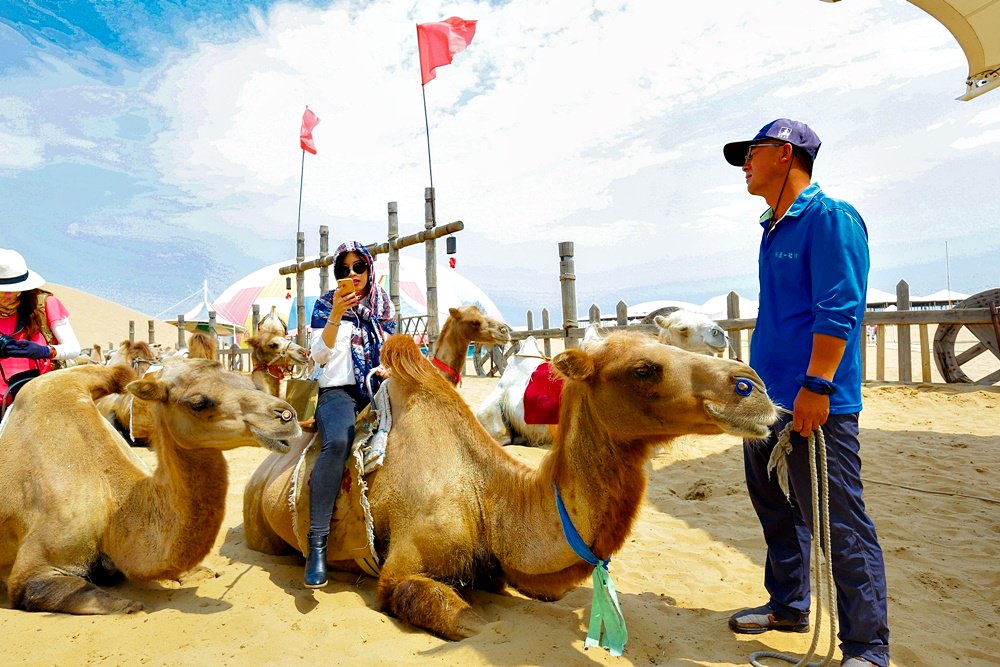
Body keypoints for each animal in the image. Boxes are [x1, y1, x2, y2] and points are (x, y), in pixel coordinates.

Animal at [0, 360, 300, 616]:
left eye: (251, 383)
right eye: (199, 402)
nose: (287, 415)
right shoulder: (35, 570)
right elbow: (93, 596)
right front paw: (130, 603)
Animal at [240, 332, 772, 640]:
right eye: (643, 368)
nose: (753, 386)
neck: (489, 500)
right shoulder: (400, 571)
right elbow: (466, 621)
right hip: (258, 528)